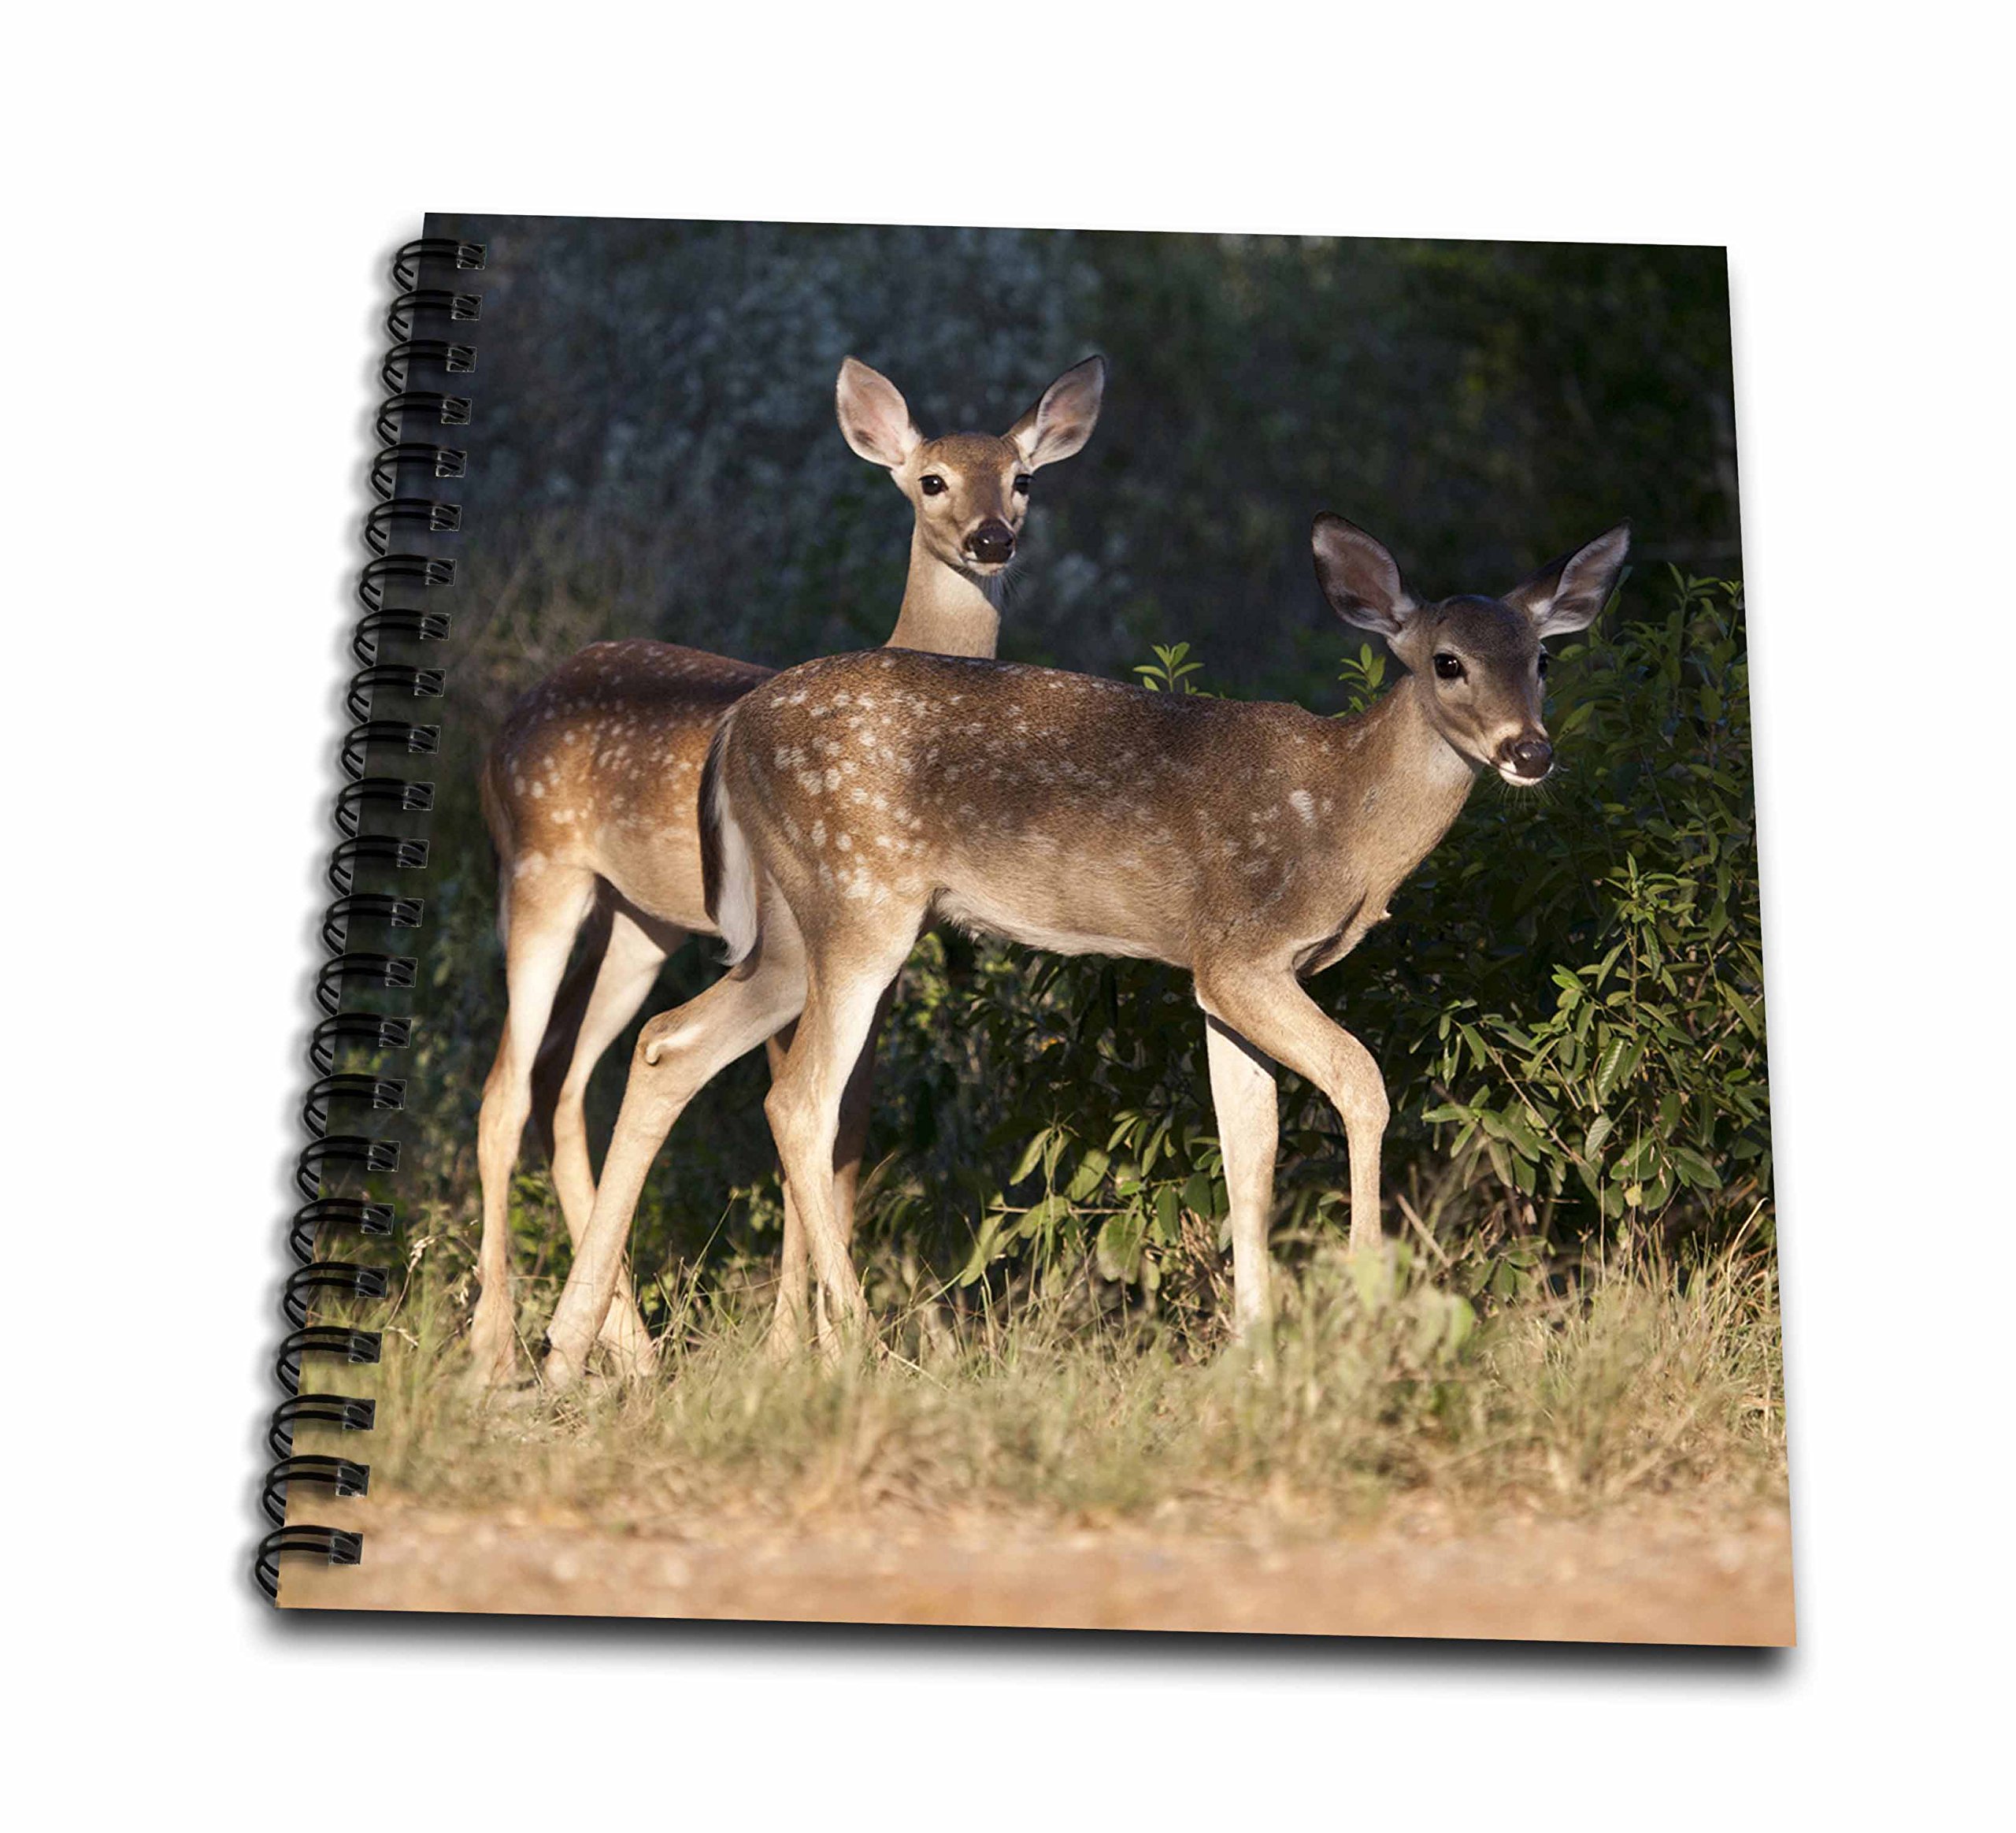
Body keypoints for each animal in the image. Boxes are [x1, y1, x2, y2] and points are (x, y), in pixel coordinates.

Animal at [469, 352, 1106, 1385]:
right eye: (931, 479)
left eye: (1023, 478)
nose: (992, 539)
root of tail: (505, 723)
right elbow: (802, 1118)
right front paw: (801, 1347)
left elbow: (843, 1136)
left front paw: (801, 1345)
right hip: (540, 870)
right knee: (506, 1089)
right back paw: (495, 1345)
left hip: (644, 920)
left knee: (567, 1088)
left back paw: (624, 1342)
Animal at [536, 515, 1630, 1386]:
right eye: (1446, 661)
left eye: (1543, 660)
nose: (1529, 751)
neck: (1346, 822)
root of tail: (732, 725)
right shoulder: (1241, 951)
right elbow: (1360, 1082)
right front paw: (1361, 1305)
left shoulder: (1219, 980)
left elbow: (1251, 1148)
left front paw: (1252, 1346)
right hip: (860, 897)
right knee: (796, 1098)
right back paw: (862, 1348)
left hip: (791, 927)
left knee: (669, 1043)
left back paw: (573, 1346)